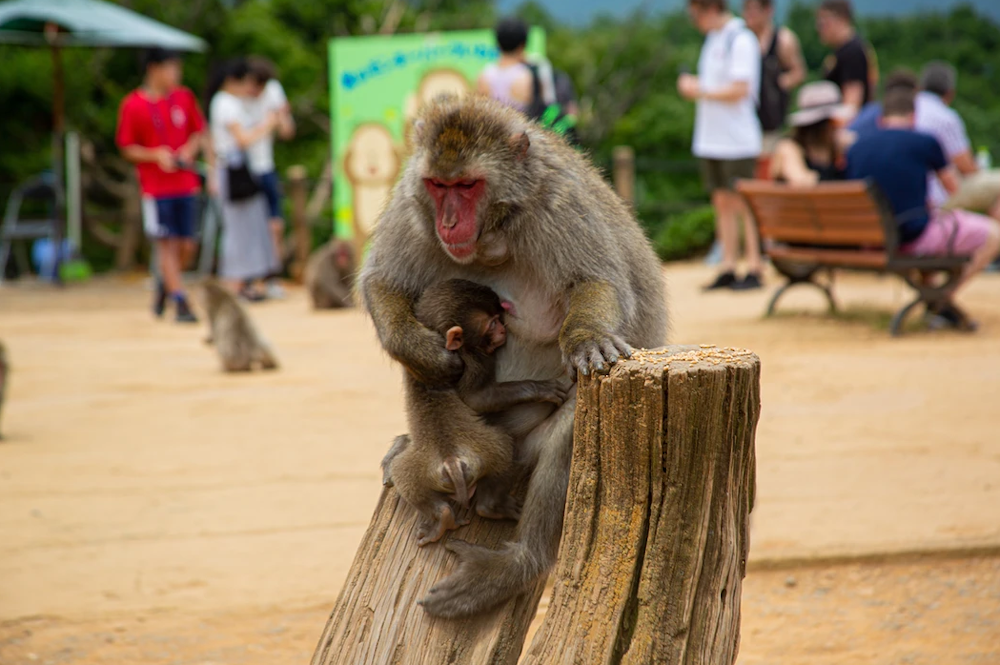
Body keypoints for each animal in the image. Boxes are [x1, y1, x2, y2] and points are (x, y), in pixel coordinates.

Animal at [382, 278, 572, 544]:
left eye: (498, 318)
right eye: (492, 323)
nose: (503, 330)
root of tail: (451, 460)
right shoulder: (475, 359)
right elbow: (476, 399)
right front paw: (541, 389)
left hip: (422, 471)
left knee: (403, 474)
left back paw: (441, 517)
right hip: (487, 449)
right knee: (504, 445)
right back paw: (490, 506)